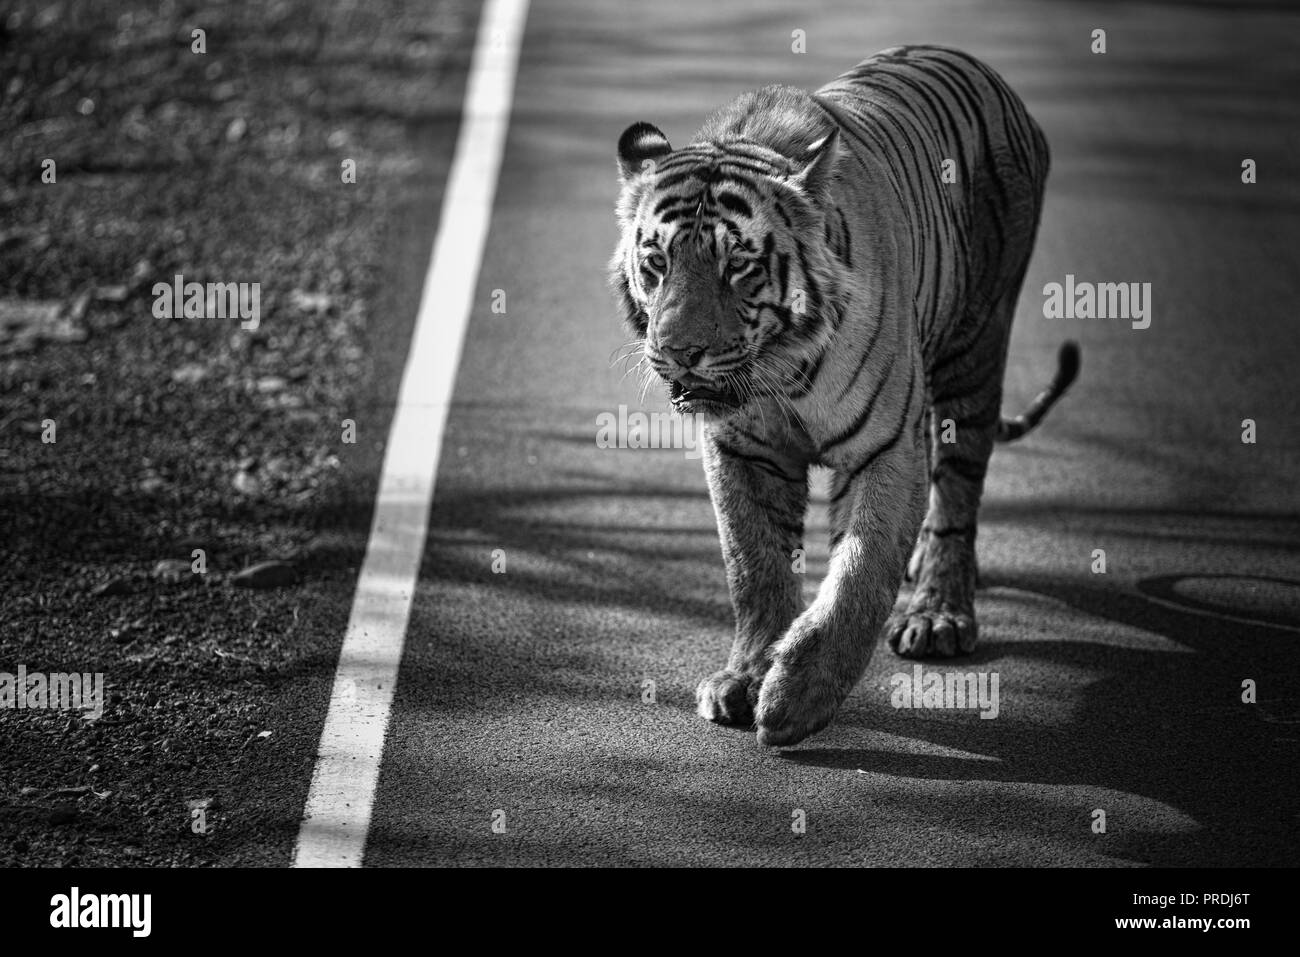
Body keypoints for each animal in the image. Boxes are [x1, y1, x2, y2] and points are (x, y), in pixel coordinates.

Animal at [605, 44, 1076, 748]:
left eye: (737, 266)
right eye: (657, 262)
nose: (680, 350)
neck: (781, 372)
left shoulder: (885, 448)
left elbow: (858, 573)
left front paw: (797, 698)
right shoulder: (742, 450)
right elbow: (756, 567)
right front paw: (744, 679)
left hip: (975, 350)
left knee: (957, 494)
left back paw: (938, 614)